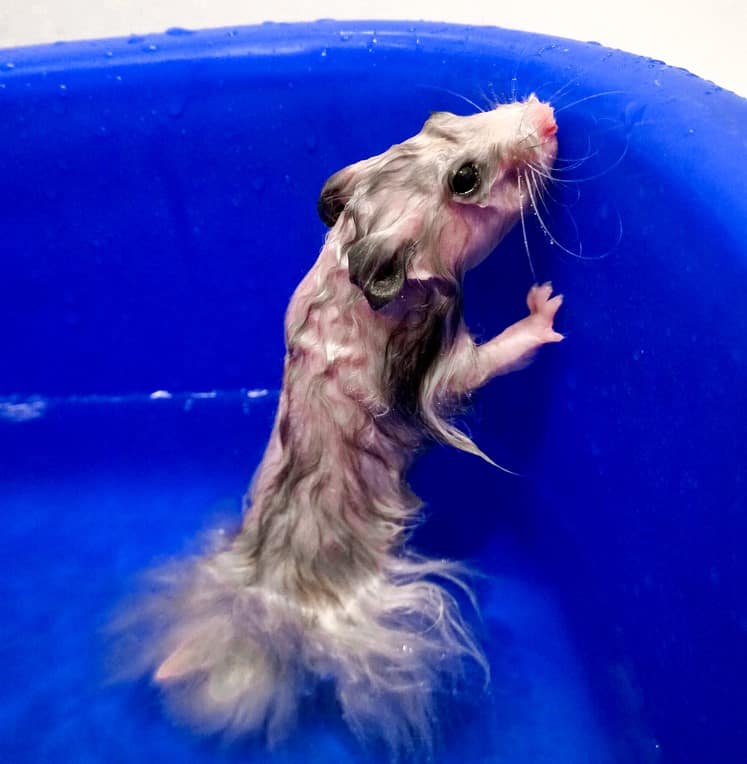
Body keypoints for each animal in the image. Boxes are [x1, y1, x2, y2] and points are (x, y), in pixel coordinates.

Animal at [113, 94, 562, 755]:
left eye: (437, 118)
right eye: (465, 179)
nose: (549, 113)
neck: (352, 259)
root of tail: (265, 609)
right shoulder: (438, 370)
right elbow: (488, 361)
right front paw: (545, 303)